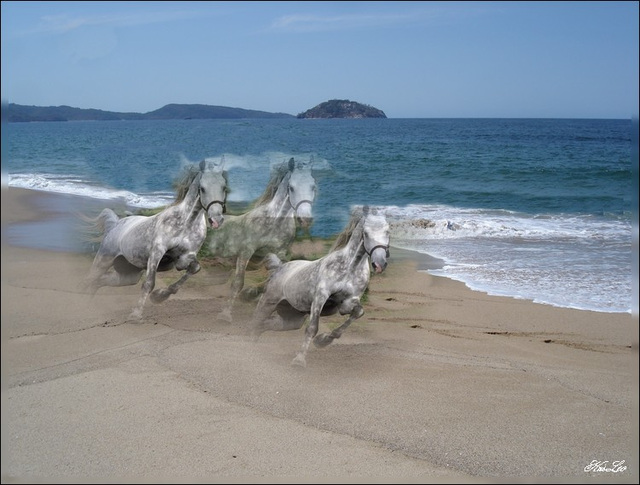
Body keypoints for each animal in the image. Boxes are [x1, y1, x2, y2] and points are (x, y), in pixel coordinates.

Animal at [82, 157, 228, 320]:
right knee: (89, 280)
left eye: (224, 187)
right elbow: (149, 283)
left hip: (129, 274)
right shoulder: (157, 252)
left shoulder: (188, 255)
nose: (216, 219)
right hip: (103, 260)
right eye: (202, 188)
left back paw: (87, 308)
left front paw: (160, 296)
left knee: (100, 281)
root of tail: (115, 224)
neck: (186, 223)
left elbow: (194, 268)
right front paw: (136, 314)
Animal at [208, 156, 318, 322]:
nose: (305, 220)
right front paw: (225, 315)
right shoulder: (246, 251)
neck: (274, 222)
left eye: (313, 186)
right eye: (291, 187)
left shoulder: (280, 253)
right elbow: (238, 282)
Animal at [250, 204, 390, 366]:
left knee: (266, 324)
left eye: (388, 231)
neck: (350, 267)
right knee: (256, 321)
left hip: (293, 318)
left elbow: (358, 312)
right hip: (268, 302)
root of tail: (280, 267)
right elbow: (312, 328)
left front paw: (323, 341)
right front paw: (299, 361)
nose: (380, 264)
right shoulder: (320, 297)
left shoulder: (349, 301)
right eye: (366, 233)